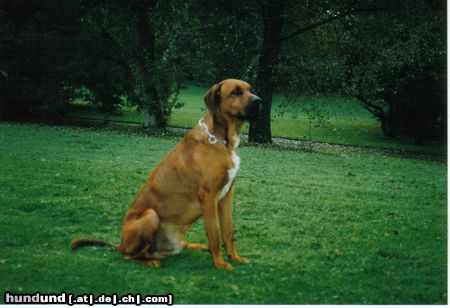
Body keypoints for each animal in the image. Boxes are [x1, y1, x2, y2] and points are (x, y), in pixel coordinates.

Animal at [71, 79, 262, 270]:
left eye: (251, 90)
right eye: (235, 92)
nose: (259, 101)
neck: (222, 140)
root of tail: (120, 244)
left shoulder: (226, 195)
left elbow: (228, 231)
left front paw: (234, 257)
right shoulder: (209, 197)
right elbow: (214, 235)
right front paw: (220, 263)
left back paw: (195, 246)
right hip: (150, 216)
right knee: (129, 256)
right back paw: (149, 261)